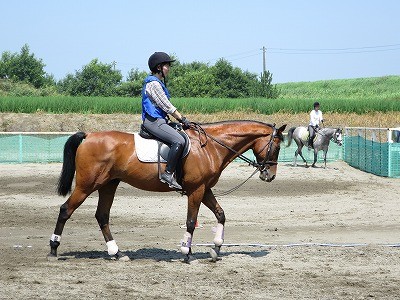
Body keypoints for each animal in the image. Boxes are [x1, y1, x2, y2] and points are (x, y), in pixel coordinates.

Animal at [48, 120, 286, 262]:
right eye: (276, 147)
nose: (269, 175)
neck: (210, 146)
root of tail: (89, 135)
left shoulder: (205, 189)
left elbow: (221, 214)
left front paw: (215, 249)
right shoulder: (196, 190)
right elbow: (191, 221)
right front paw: (186, 253)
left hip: (108, 185)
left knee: (102, 216)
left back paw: (117, 253)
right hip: (87, 185)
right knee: (65, 210)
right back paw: (53, 249)